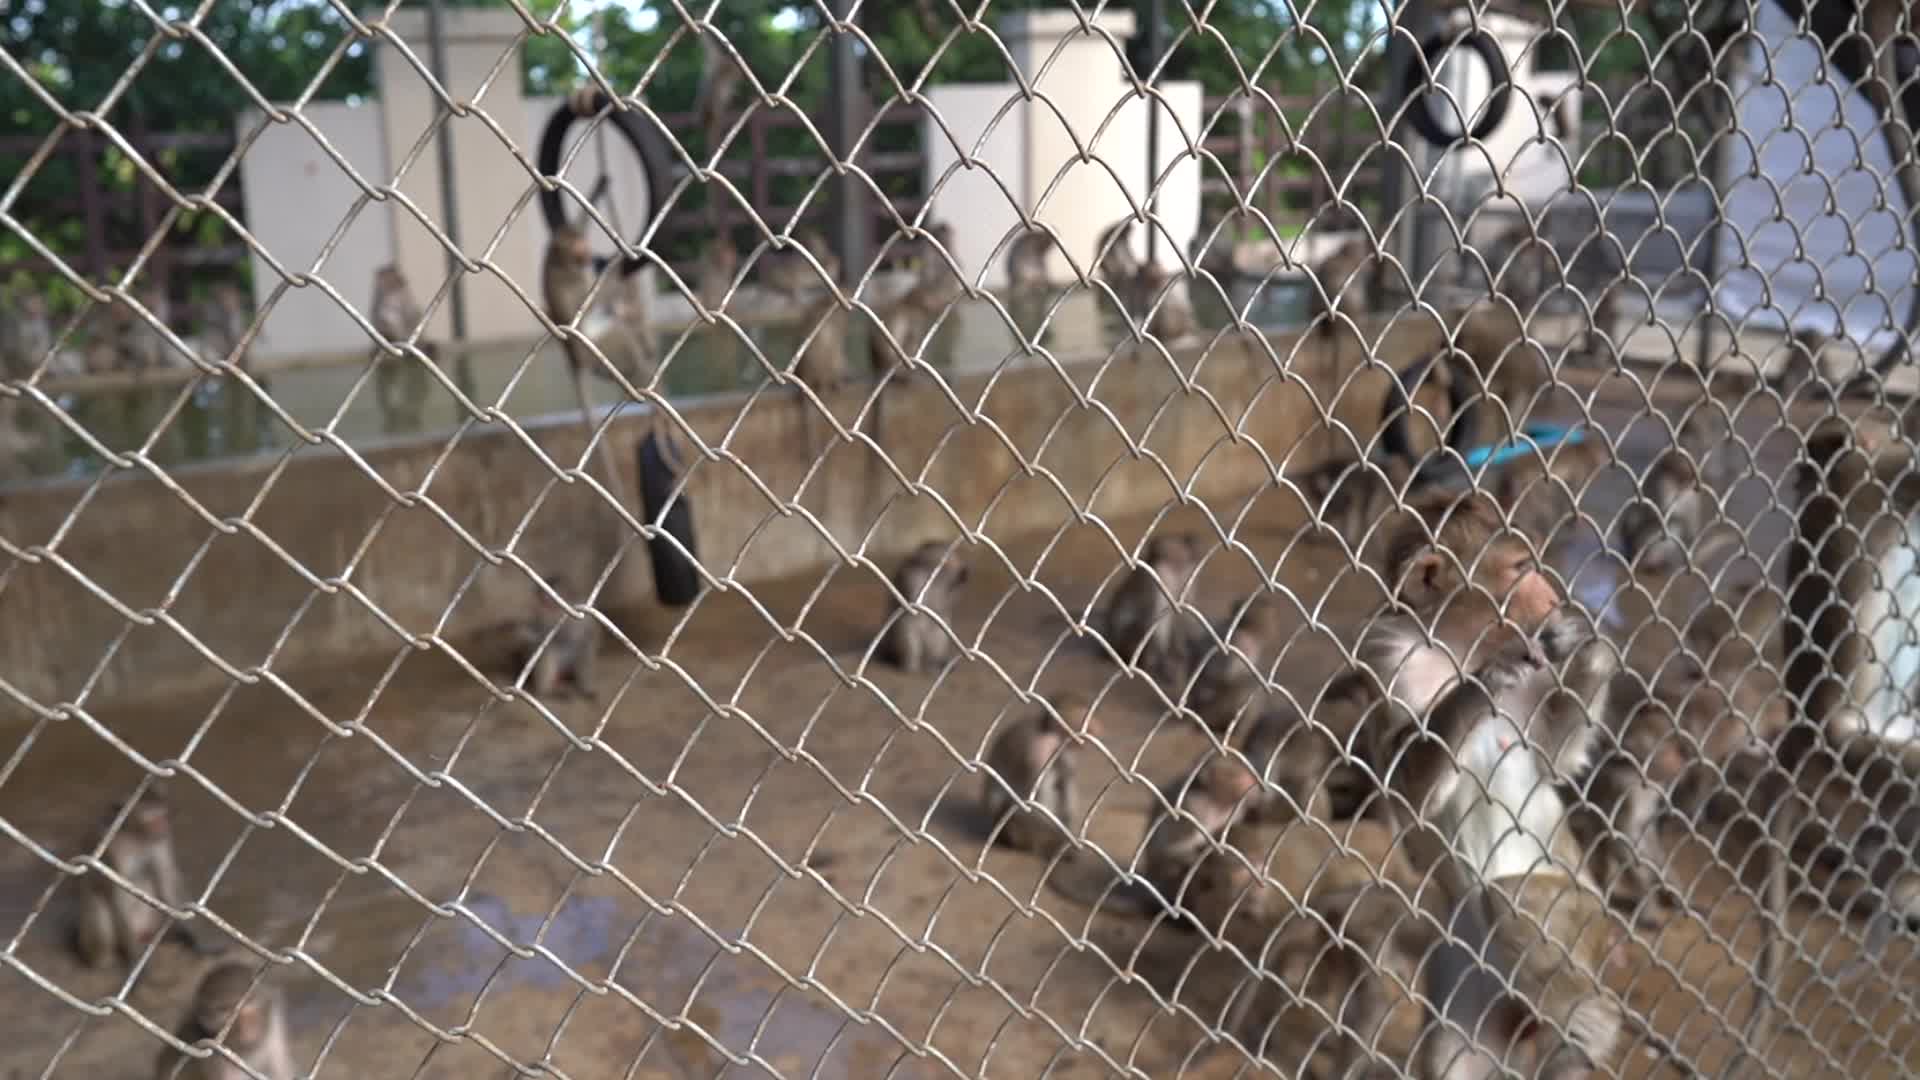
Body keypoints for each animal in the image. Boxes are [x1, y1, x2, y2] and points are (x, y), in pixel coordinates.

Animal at [75, 780, 212, 968]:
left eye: (163, 815)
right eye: (151, 819)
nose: (163, 827)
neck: (135, 835)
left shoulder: (160, 841)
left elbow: (166, 878)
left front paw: (204, 941)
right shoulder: (111, 851)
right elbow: (117, 893)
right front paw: (135, 958)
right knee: (97, 903)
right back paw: (105, 961)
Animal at [883, 538, 975, 672]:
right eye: (949, 560)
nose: (963, 570)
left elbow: (945, 603)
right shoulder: (913, 578)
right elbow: (915, 599)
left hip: (938, 639)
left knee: (934, 649)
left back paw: (933, 665)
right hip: (906, 636)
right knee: (910, 645)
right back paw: (912, 666)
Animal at [983, 691, 1105, 853]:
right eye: (1087, 721)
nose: (1099, 727)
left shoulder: (1064, 753)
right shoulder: (1038, 747)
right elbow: (1031, 802)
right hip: (1015, 832)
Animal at [1359, 488, 1628, 1076]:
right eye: (1520, 569)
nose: (1552, 595)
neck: (1460, 644)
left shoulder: (1538, 664)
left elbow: (1551, 763)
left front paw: (1592, 647)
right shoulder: (1388, 654)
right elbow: (1406, 795)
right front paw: (1482, 686)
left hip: (1588, 916)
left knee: (1514, 900)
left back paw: (1586, 1025)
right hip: (1465, 972)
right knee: (1455, 1052)